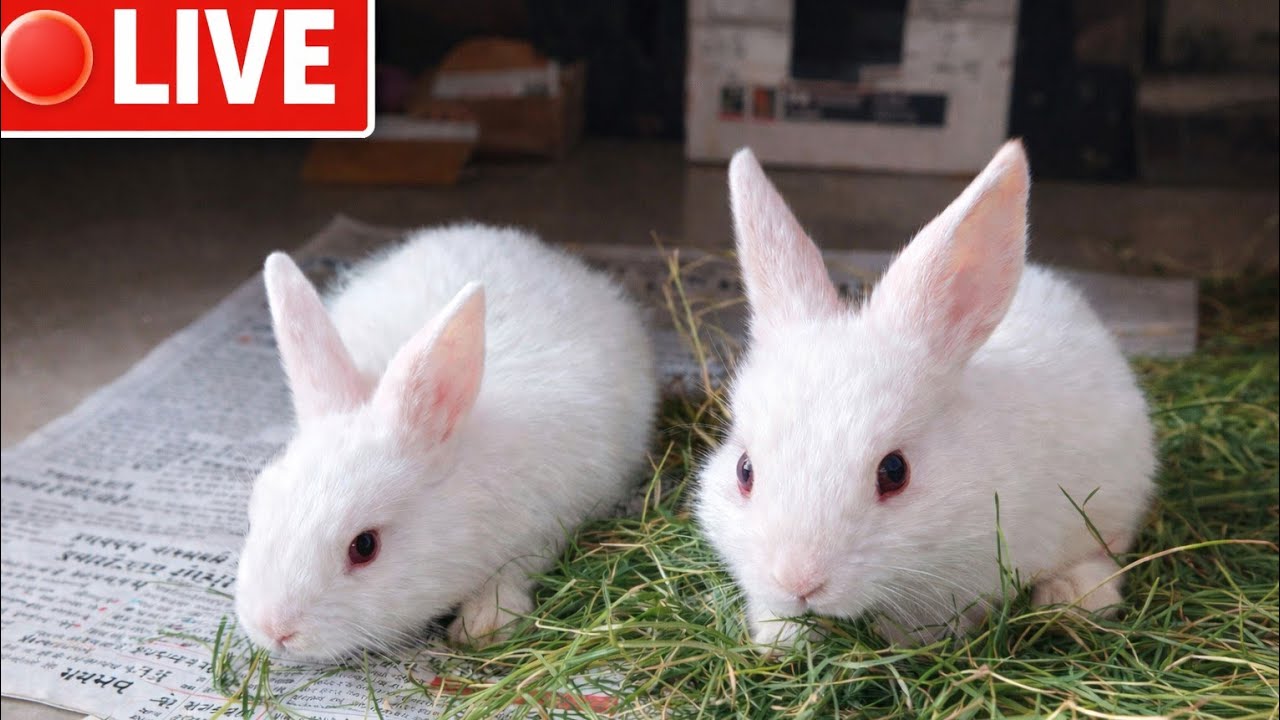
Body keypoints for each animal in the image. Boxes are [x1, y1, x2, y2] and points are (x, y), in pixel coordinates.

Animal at [234, 224, 657, 661]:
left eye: (364, 546)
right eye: (252, 518)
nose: (274, 629)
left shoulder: (546, 527)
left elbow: (514, 572)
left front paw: (484, 625)